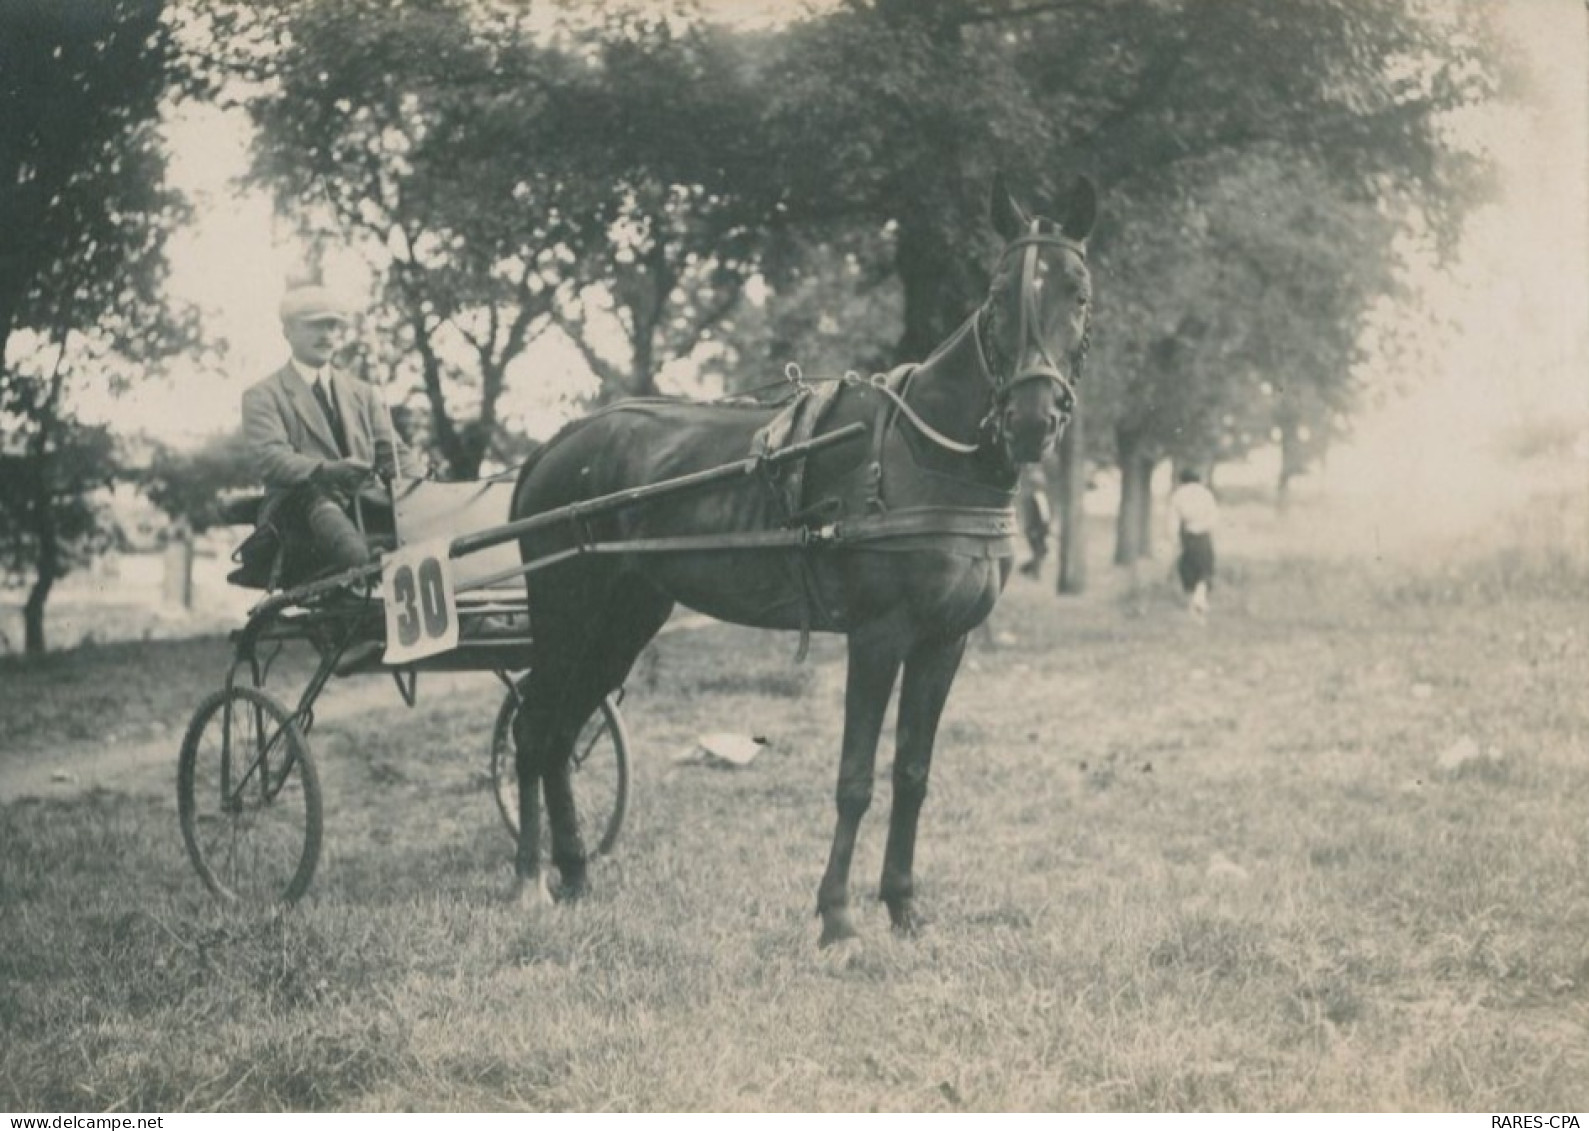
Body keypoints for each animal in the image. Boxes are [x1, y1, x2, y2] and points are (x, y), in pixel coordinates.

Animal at [508, 169, 1093, 946]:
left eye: (1078, 292)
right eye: (999, 292)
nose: (1031, 419)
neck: (923, 452)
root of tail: (552, 447)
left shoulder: (945, 641)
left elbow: (912, 772)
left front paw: (903, 906)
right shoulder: (878, 636)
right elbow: (855, 779)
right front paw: (837, 917)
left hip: (623, 619)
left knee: (561, 731)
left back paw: (573, 872)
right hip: (567, 616)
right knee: (534, 725)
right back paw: (527, 882)